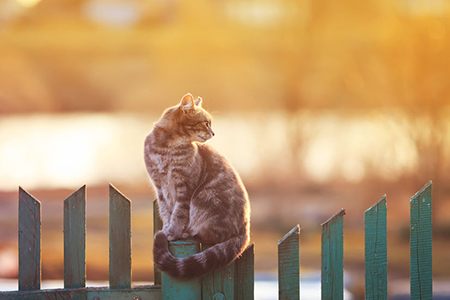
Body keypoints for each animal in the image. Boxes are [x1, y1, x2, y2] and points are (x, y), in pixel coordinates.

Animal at [143, 93, 250, 278]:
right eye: (206, 123)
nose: (213, 133)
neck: (167, 148)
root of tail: (245, 230)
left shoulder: (184, 188)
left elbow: (178, 214)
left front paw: (172, 233)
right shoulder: (160, 188)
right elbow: (166, 213)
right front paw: (166, 230)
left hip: (203, 198)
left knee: (214, 236)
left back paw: (189, 233)